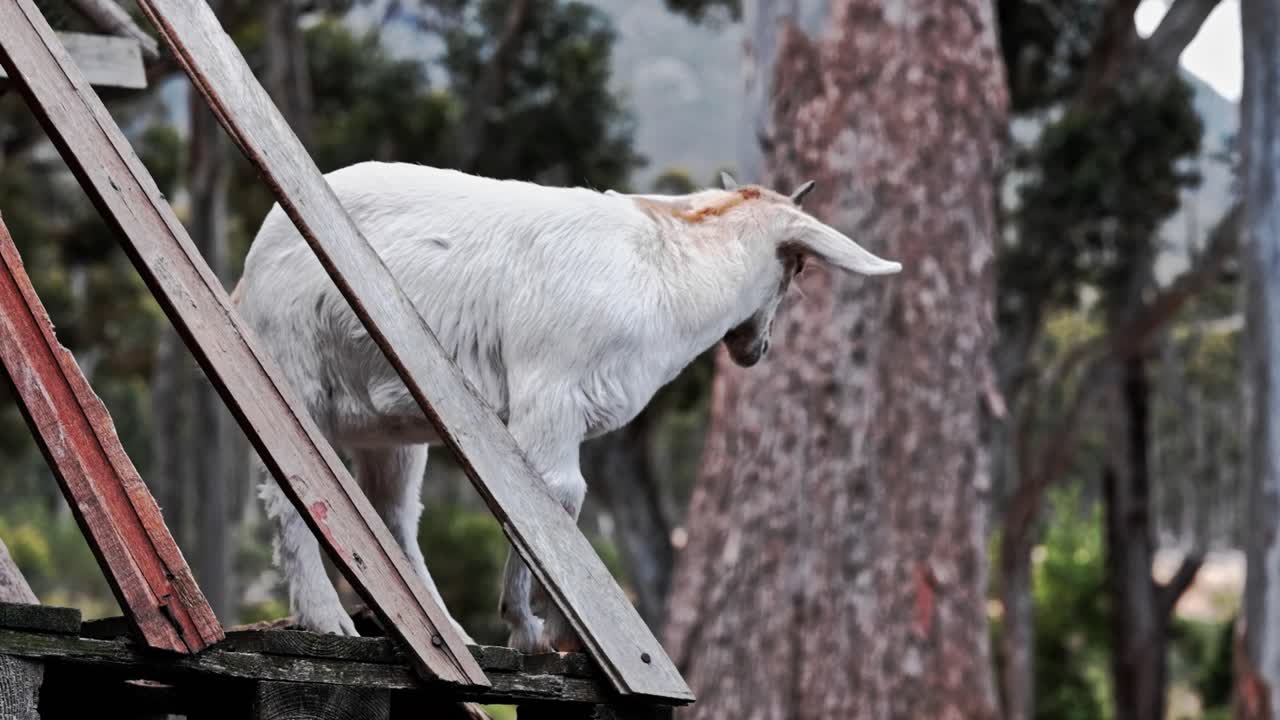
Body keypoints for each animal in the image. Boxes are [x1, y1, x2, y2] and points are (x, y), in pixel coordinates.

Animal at [232, 162, 901, 652]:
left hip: (390, 426)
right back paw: (326, 618)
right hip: (290, 363)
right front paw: (536, 631)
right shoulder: (550, 393)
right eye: (798, 266)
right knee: (289, 480)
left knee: (393, 512)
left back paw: (444, 629)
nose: (755, 350)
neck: (664, 271)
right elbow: (552, 498)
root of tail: (252, 261)